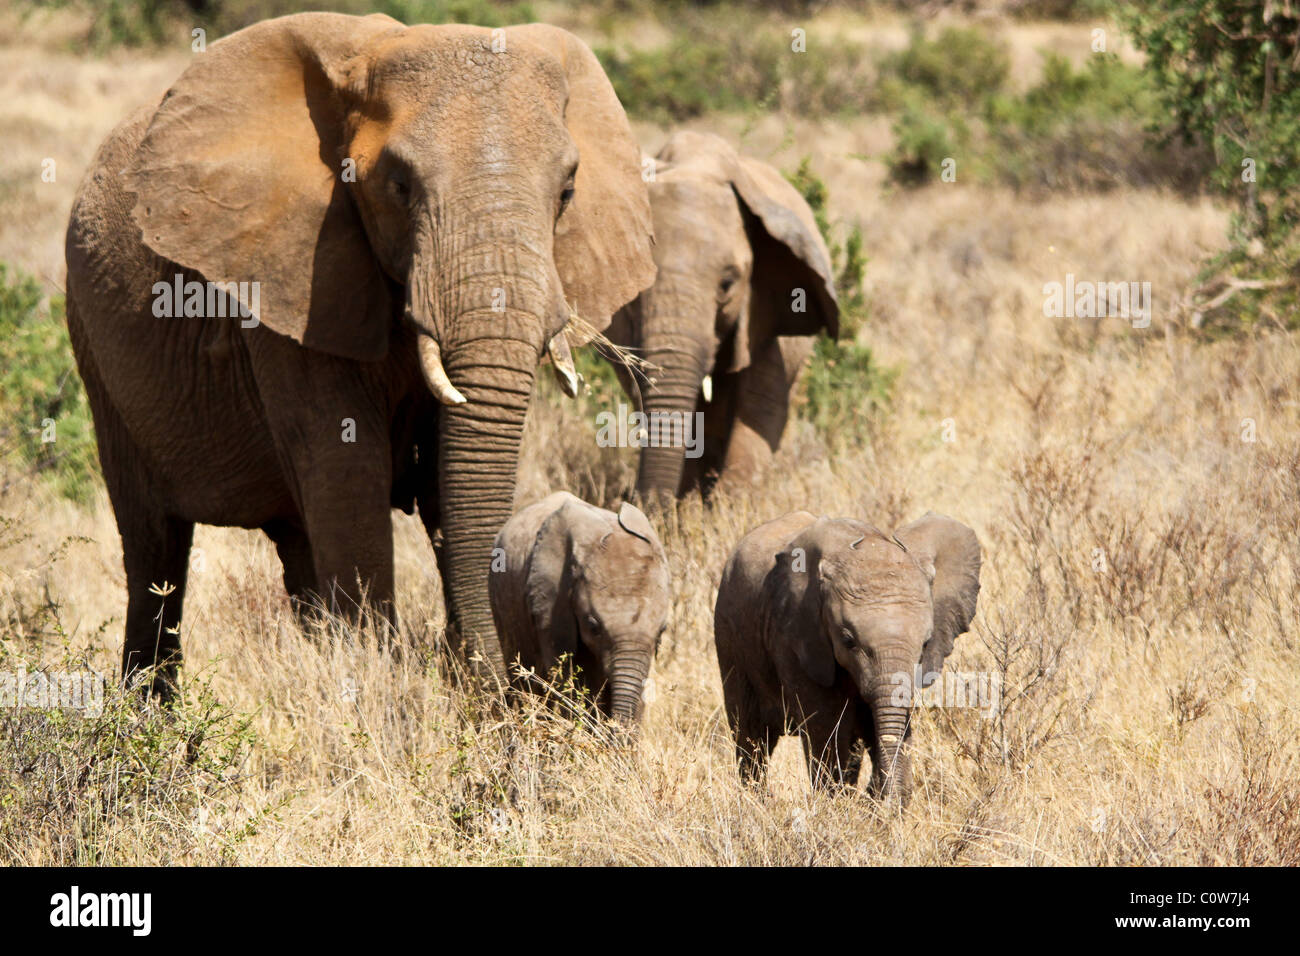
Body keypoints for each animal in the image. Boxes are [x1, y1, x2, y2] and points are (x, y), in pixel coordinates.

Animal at [603, 130, 837, 502]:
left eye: (728, 284)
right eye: (636, 291)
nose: (640, 502)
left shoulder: (764, 308)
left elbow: (760, 404)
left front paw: (731, 507)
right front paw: (690, 505)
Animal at [717, 509, 977, 801]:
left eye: (926, 644)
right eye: (848, 641)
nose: (876, 795)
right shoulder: (795, 636)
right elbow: (827, 728)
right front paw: (836, 802)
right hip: (729, 636)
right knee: (752, 736)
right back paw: (755, 800)